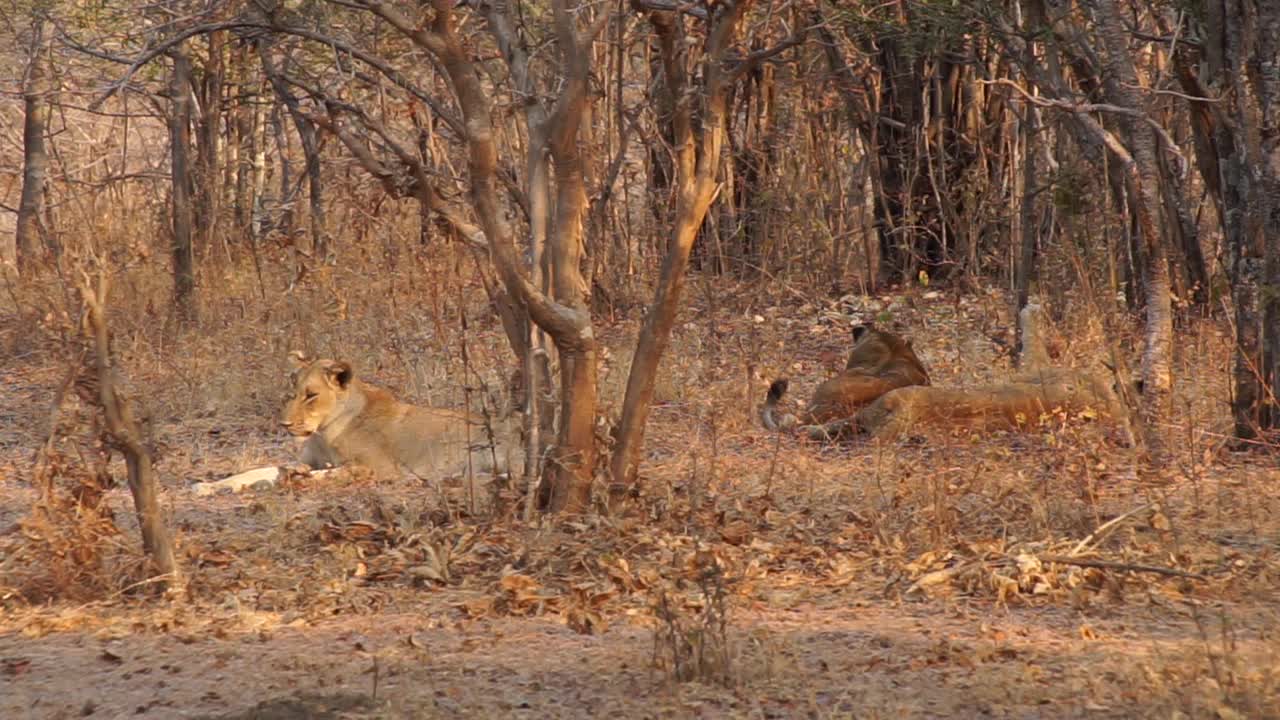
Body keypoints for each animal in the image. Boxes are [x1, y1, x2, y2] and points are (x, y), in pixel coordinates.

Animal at [279, 353, 519, 479]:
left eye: (311, 395)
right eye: (292, 394)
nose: (284, 424)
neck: (322, 433)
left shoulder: (379, 468)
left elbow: (328, 472)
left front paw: (299, 475)